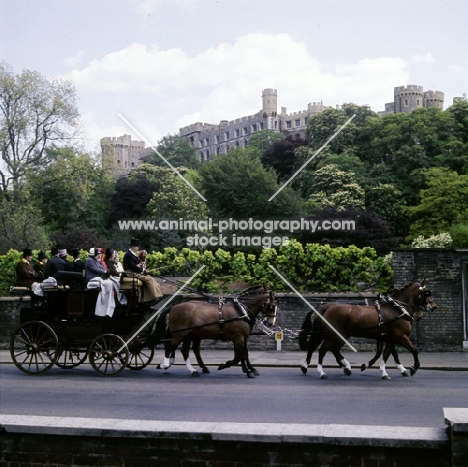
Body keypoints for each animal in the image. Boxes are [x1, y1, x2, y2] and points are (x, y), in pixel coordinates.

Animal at [300, 280, 436, 378]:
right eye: (426, 293)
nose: (433, 306)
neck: (397, 309)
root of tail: (325, 308)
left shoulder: (389, 338)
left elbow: (387, 354)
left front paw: (386, 371)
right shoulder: (400, 336)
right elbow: (413, 350)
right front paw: (413, 368)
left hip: (339, 335)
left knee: (332, 349)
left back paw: (345, 368)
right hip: (331, 335)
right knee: (322, 350)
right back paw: (322, 372)